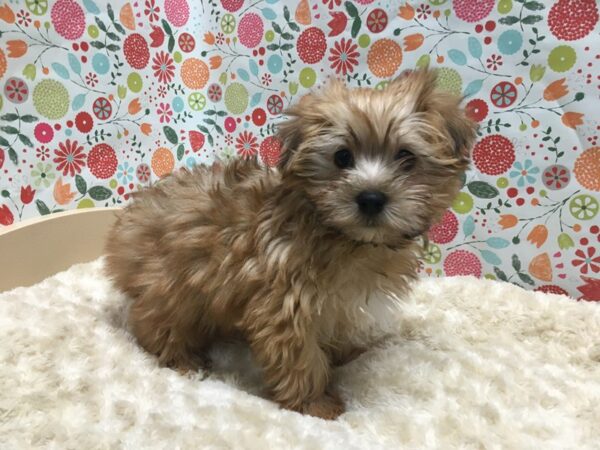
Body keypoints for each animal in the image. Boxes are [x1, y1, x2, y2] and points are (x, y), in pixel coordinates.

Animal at [105, 68, 476, 420]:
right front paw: (316, 404)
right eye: (342, 157)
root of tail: (127, 226)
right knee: (154, 323)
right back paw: (182, 359)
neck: (343, 238)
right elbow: (301, 359)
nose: (371, 198)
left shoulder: (339, 303)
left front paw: (344, 355)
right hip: (172, 287)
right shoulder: (286, 304)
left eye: (406, 156)